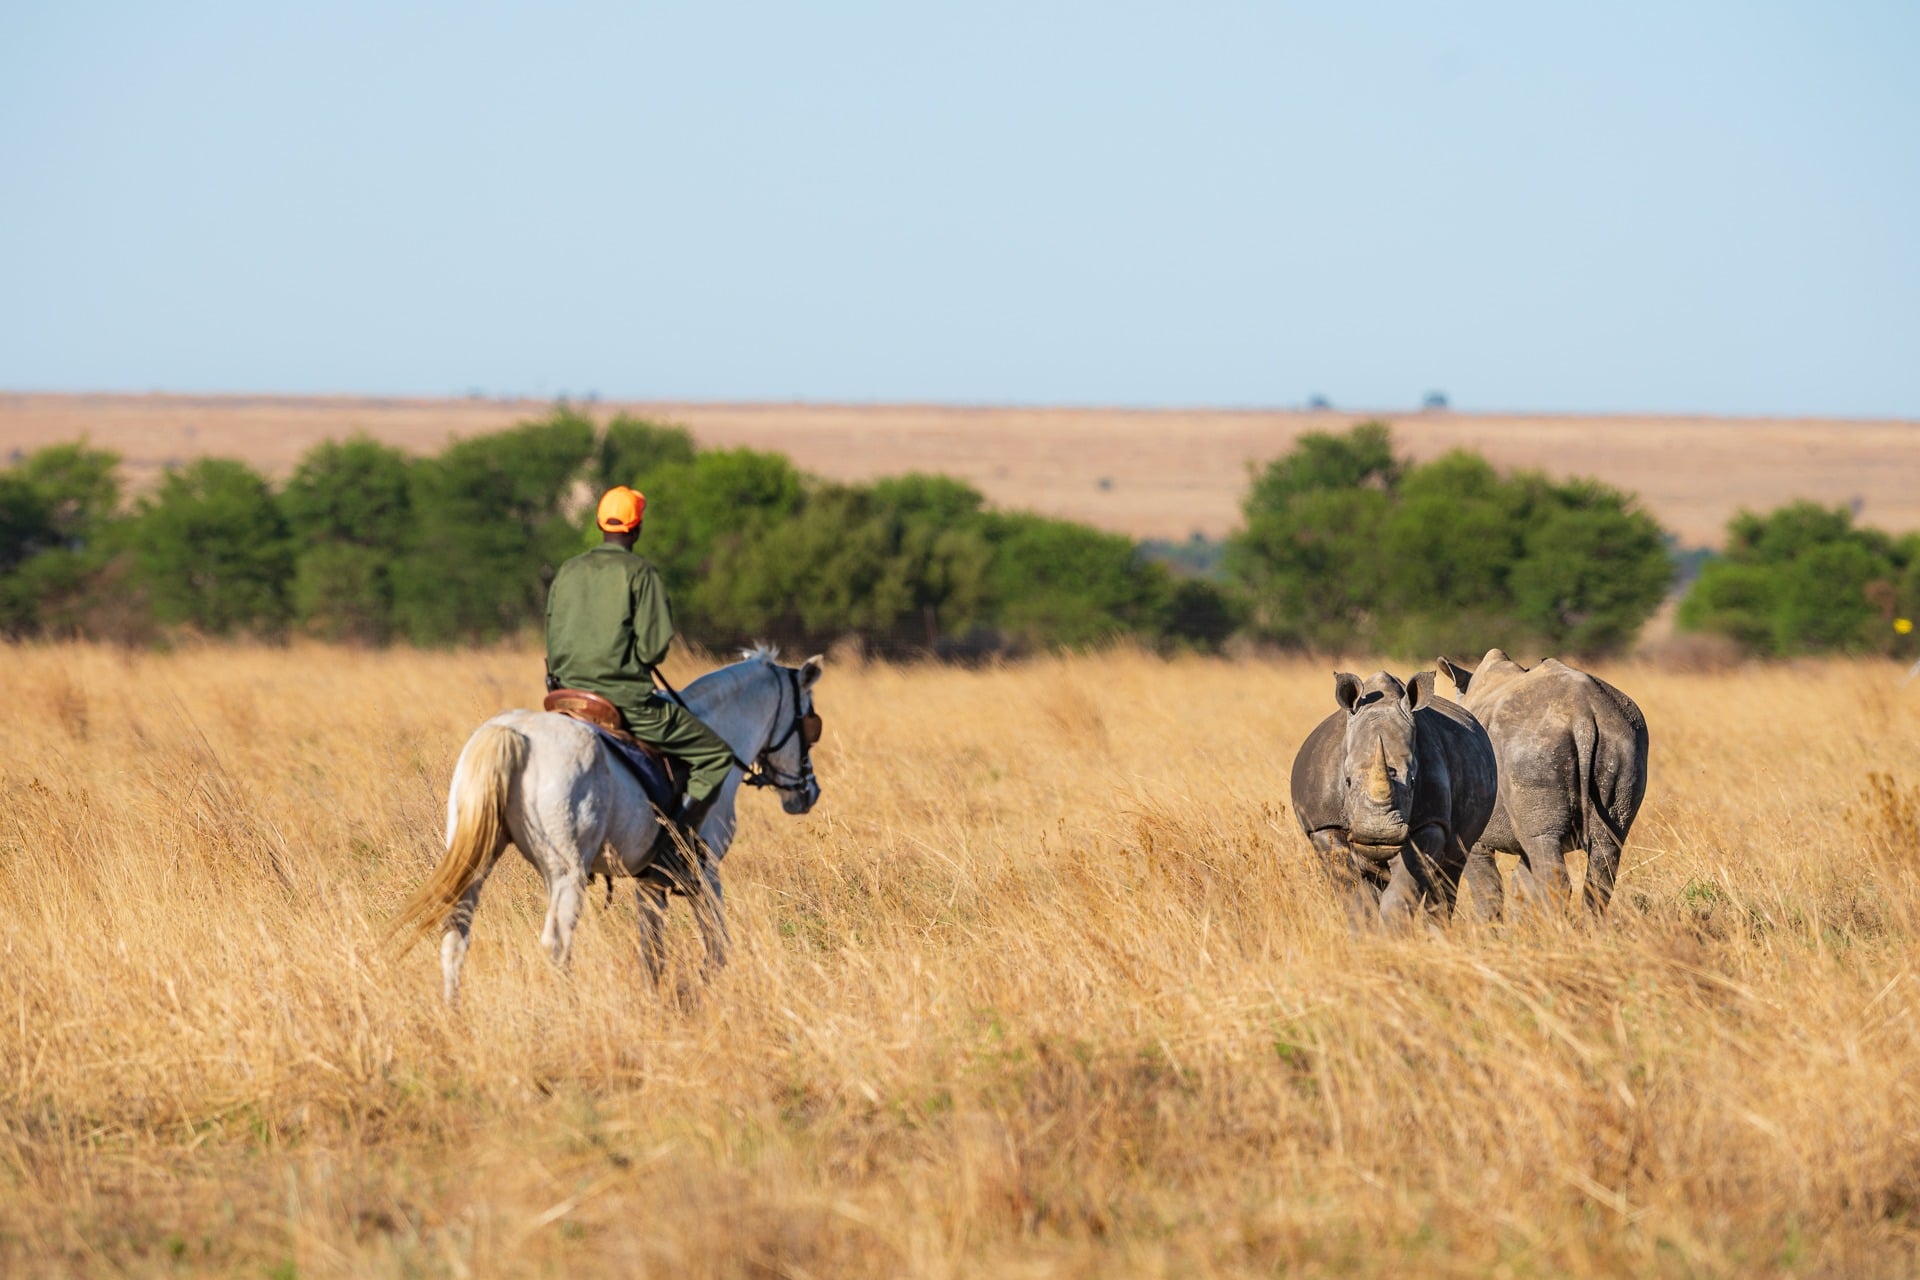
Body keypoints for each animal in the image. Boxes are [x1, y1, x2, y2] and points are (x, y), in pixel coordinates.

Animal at [1290, 670, 1499, 930]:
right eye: (1347, 781)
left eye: (1413, 781)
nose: (1378, 835)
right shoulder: (1323, 824)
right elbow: (1352, 889)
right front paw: (1364, 934)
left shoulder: (1431, 822)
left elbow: (1405, 887)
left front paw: (1391, 934)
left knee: (1449, 870)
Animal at [1435, 648, 1649, 917]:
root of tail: (1584, 716)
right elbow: (1522, 882)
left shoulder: (1470, 833)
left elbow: (1487, 885)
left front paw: (1488, 926)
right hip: (1624, 741)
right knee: (1605, 847)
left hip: (1534, 747)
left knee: (1548, 851)